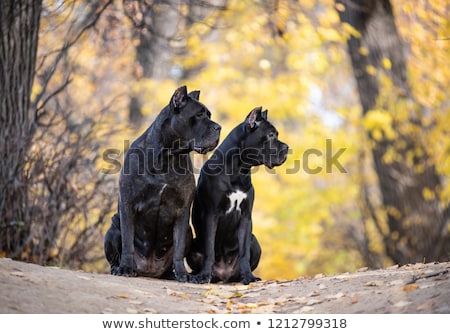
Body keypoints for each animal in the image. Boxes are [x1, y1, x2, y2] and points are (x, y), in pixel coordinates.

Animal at [102, 85, 221, 282]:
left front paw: (182, 274)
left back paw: (172, 274)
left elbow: (178, 249)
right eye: (198, 115)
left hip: (188, 232)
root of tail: (149, 270)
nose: (219, 127)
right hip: (113, 227)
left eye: (209, 115)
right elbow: (127, 241)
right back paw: (118, 268)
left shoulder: (182, 210)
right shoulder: (128, 204)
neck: (167, 156)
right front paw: (125, 267)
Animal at [186, 107, 288, 284]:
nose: (287, 147)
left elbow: (244, 253)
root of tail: (223, 275)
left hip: (255, 241)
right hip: (192, 245)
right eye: (270, 135)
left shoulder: (246, 217)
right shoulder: (211, 214)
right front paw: (204, 276)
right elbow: (209, 249)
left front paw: (249, 276)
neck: (238, 170)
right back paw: (197, 275)